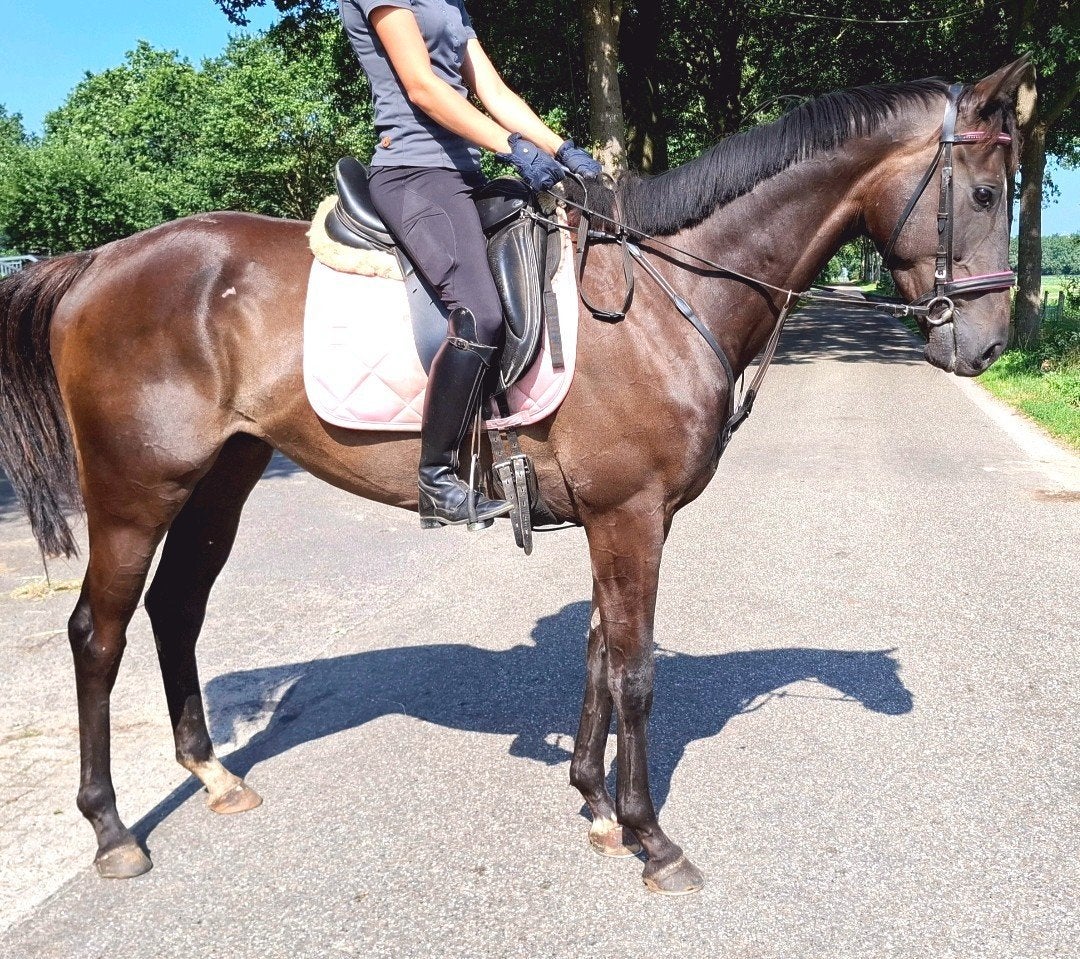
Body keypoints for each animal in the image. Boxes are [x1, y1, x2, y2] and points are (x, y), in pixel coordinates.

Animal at [0, 59, 1027, 894]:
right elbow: (636, 669)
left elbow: (600, 651)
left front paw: (597, 805)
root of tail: (100, 261)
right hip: (135, 488)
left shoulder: (624, 516)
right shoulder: (631, 514)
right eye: (984, 194)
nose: (985, 347)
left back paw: (213, 774)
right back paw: (111, 829)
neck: (665, 297)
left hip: (225, 474)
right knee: (98, 633)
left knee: (177, 606)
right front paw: (654, 838)